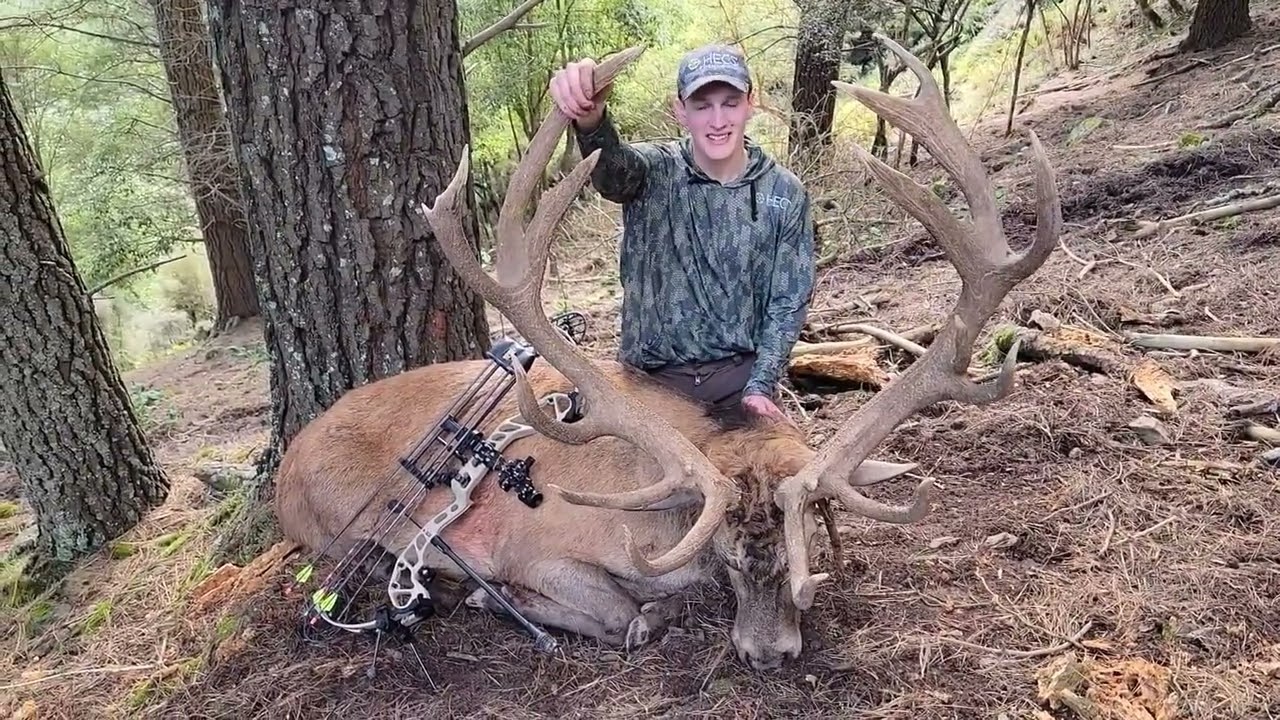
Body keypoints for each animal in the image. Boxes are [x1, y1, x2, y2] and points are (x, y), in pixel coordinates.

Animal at [273, 34, 1062, 671]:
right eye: (729, 562)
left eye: (804, 546)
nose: (766, 654)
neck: (663, 532)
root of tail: (287, 461)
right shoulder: (535, 548)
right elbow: (626, 617)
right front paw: (498, 600)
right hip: (351, 525)